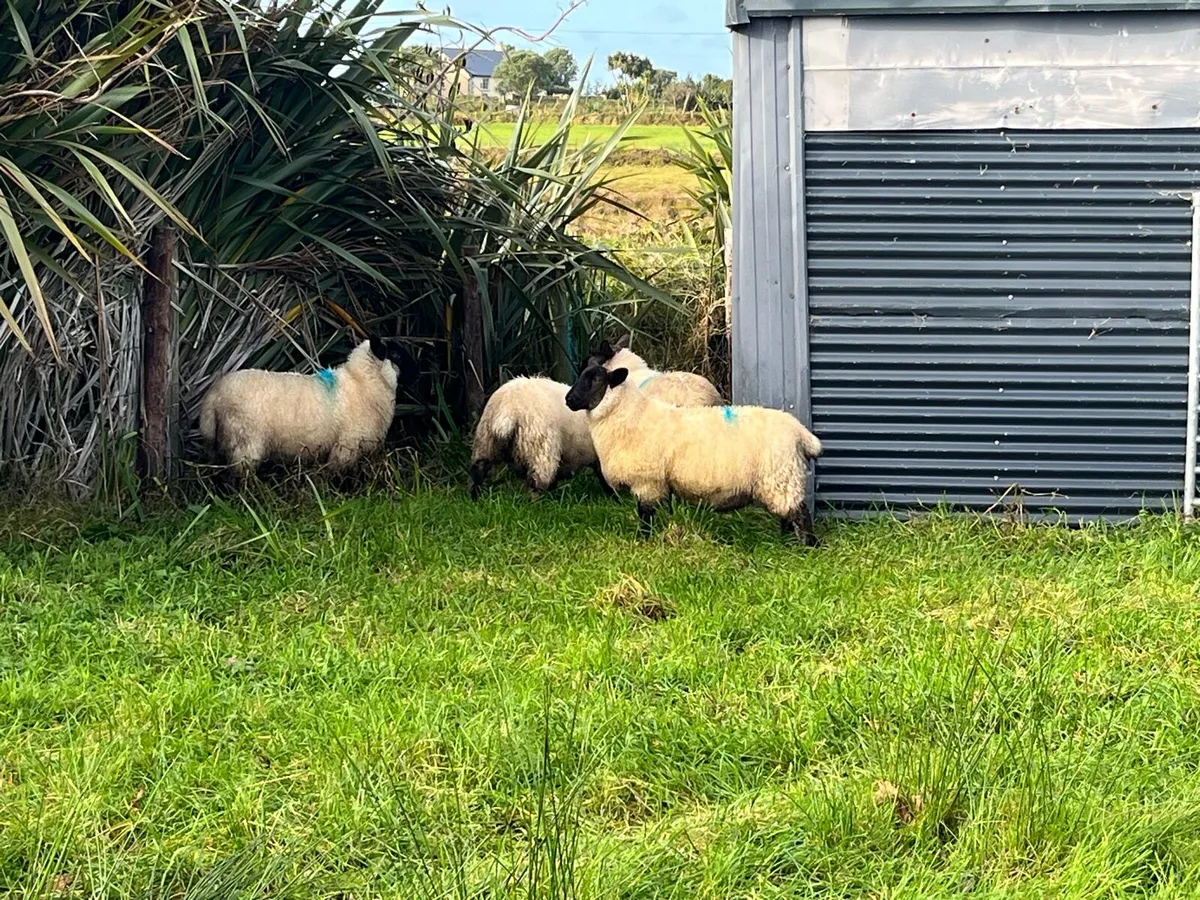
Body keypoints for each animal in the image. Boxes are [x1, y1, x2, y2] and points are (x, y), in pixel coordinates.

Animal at [199, 336, 410, 482]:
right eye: (397, 354)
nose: (415, 373)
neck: (362, 383)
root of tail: (213, 396)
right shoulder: (346, 446)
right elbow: (338, 476)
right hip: (244, 442)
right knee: (238, 478)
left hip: (220, 443)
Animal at [469, 376, 614, 500]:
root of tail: (508, 408)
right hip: (540, 447)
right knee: (537, 482)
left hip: (485, 442)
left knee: (478, 471)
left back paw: (476, 499)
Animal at [564, 362, 823, 546]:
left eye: (596, 379)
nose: (568, 400)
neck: (630, 416)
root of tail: (801, 433)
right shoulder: (660, 483)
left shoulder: (647, 481)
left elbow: (645, 515)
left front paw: (643, 540)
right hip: (782, 480)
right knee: (788, 515)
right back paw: (786, 542)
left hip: (781, 477)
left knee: (800, 515)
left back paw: (807, 548)